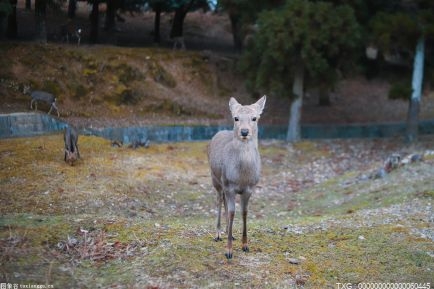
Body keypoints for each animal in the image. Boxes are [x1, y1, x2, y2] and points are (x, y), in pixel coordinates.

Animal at [209, 94, 266, 258]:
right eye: (236, 118)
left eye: (254, 118)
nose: (244, 132)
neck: (242, 176)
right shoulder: (229, 185)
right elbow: (232, 213)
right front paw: (228, 251)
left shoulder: (249, 188)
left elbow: (244, 213)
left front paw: (245, 245)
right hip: (215, 179)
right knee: (219, 200)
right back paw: (218, 234)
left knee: (224, 203)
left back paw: (230, 233)